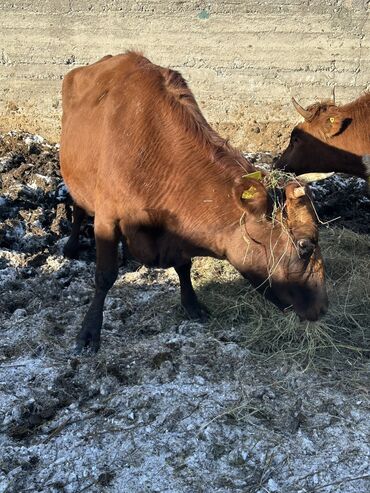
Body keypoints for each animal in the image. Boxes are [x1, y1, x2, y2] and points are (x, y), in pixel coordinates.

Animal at [59, 52, 328, 350]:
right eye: (305, 245)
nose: (324, 307)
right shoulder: (108, 217)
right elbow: (104, 276)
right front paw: (89, 331)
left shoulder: (178, 234)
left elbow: (184, 266)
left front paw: (191, 305)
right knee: (79, 208)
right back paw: (71, 247)